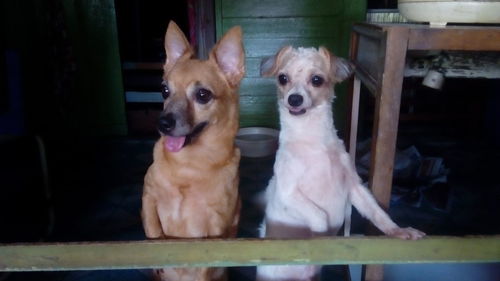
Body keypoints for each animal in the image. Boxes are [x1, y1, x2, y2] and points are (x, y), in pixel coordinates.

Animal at [142, 20, 245, 278]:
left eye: (202, 95)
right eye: (164, 91)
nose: (163, 123)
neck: (189, 165)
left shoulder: (215, 230)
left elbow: (204, 265)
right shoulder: (148, 197)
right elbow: (153, 234)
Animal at [258, 46, 426, 280]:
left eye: (317, 80)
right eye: (283, 78)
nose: (294, 99)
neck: (313, 142)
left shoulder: (355, 188)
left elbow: (377, 213)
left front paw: (397, 230)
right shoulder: (287, 193)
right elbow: (320, 217)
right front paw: (321, 238)